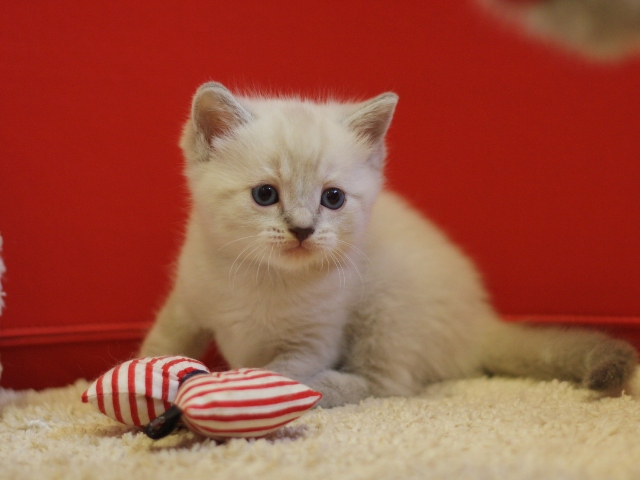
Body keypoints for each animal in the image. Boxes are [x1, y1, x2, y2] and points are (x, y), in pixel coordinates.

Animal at [139, 82, 636, 408]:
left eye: (332, 199)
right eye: (265, 195)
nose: (302, 229)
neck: (264, 280)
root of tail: (479, 319)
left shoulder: (314, 341)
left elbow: (280, 372)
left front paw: (238, 388)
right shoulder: (187, 305)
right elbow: (160, 342)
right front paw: (130, 389)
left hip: (389, 307)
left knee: (386, 384)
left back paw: (326, 392)